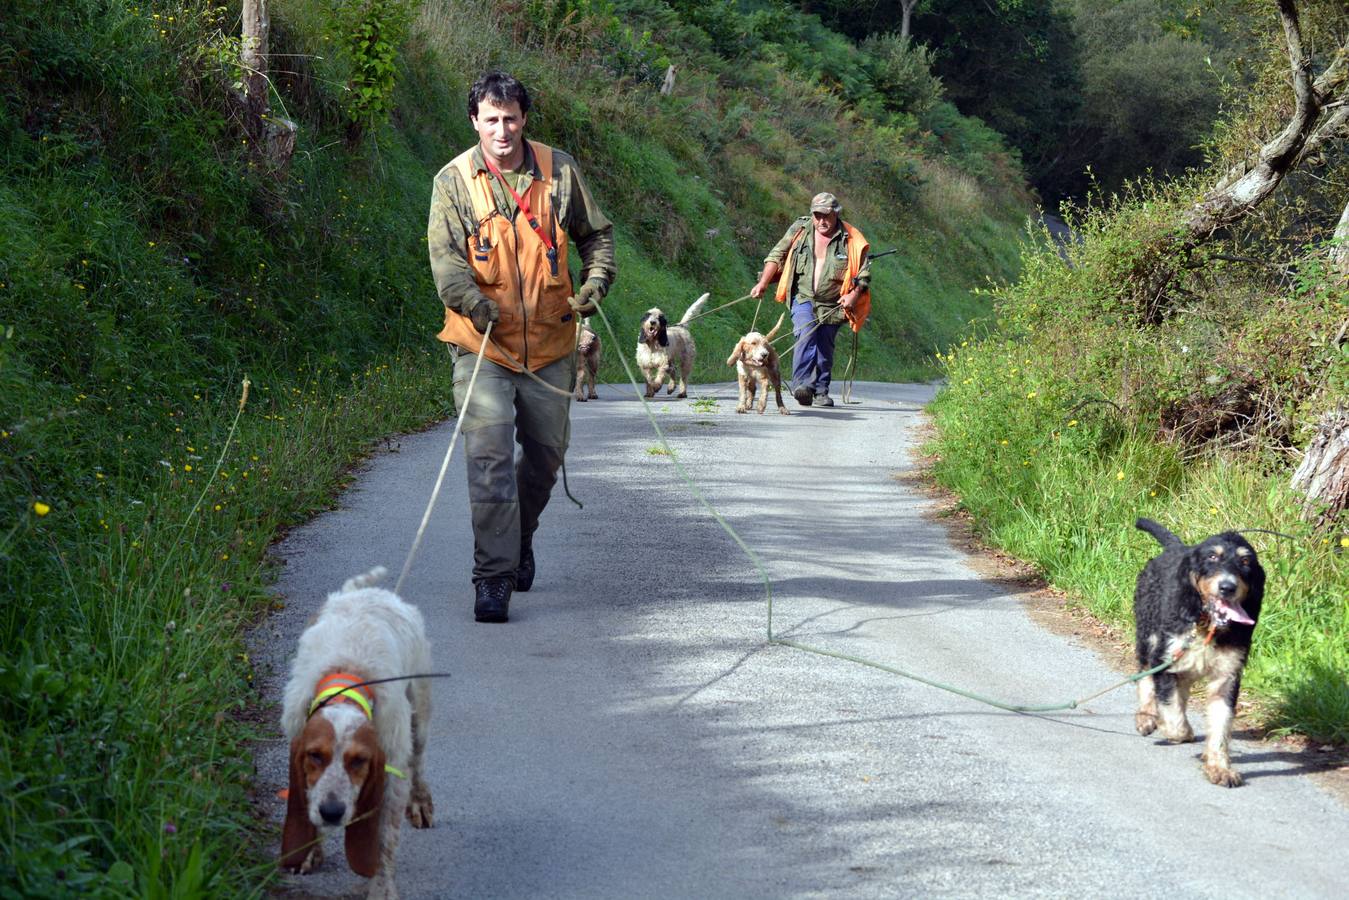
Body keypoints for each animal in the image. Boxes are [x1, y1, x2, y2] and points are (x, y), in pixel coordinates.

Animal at [279, 569, 431, 900]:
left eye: (359, 760)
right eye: (315, 755)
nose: (332, 812)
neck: (347, 681)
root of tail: (375, 592)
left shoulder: (392, 772)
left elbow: (384, 844)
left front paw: (382, 889)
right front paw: (309, 852)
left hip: (420, 715)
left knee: (419, 761)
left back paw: (421, 802)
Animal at [1138, 518, 1262, 782]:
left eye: (1246, 562)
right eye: (1212, 557)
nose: (1227, 587)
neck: (1207, 624)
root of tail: (1176, 547)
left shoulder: (1227, 676)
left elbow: (1220, 725)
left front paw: (1219, 767)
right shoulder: (1166, 658)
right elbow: (1172, 714)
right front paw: (1176, 729)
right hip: (1147, 634)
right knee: (1144, 675)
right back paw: (1146, 716)